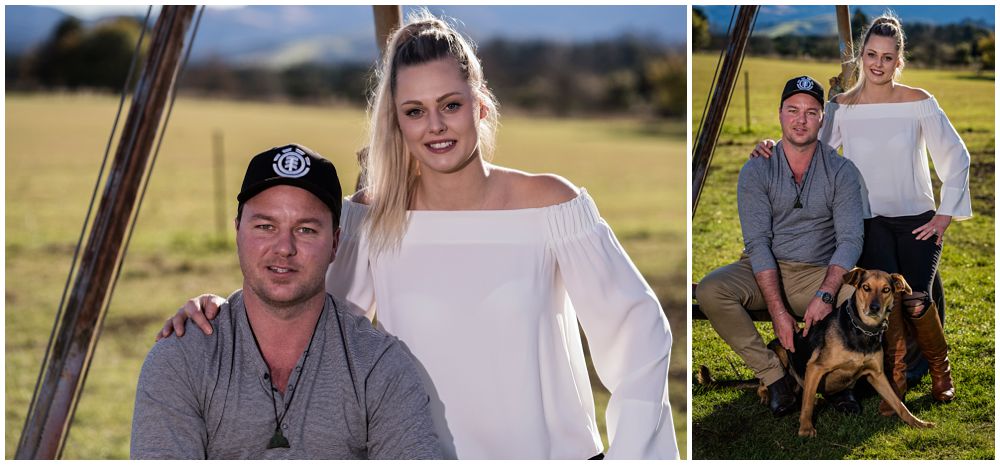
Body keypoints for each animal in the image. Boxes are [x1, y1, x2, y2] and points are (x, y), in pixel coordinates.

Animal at [756, 266, 936, 436]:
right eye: (866, 287)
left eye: (886, 290)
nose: (874, 308)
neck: (863, 331)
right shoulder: (815, 367)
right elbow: (806, 406)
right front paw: (806, 428)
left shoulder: (877, 375)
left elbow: (899, 404)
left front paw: (918, 423)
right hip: (779, 349)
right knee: (764, 385)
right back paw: (768, 395)